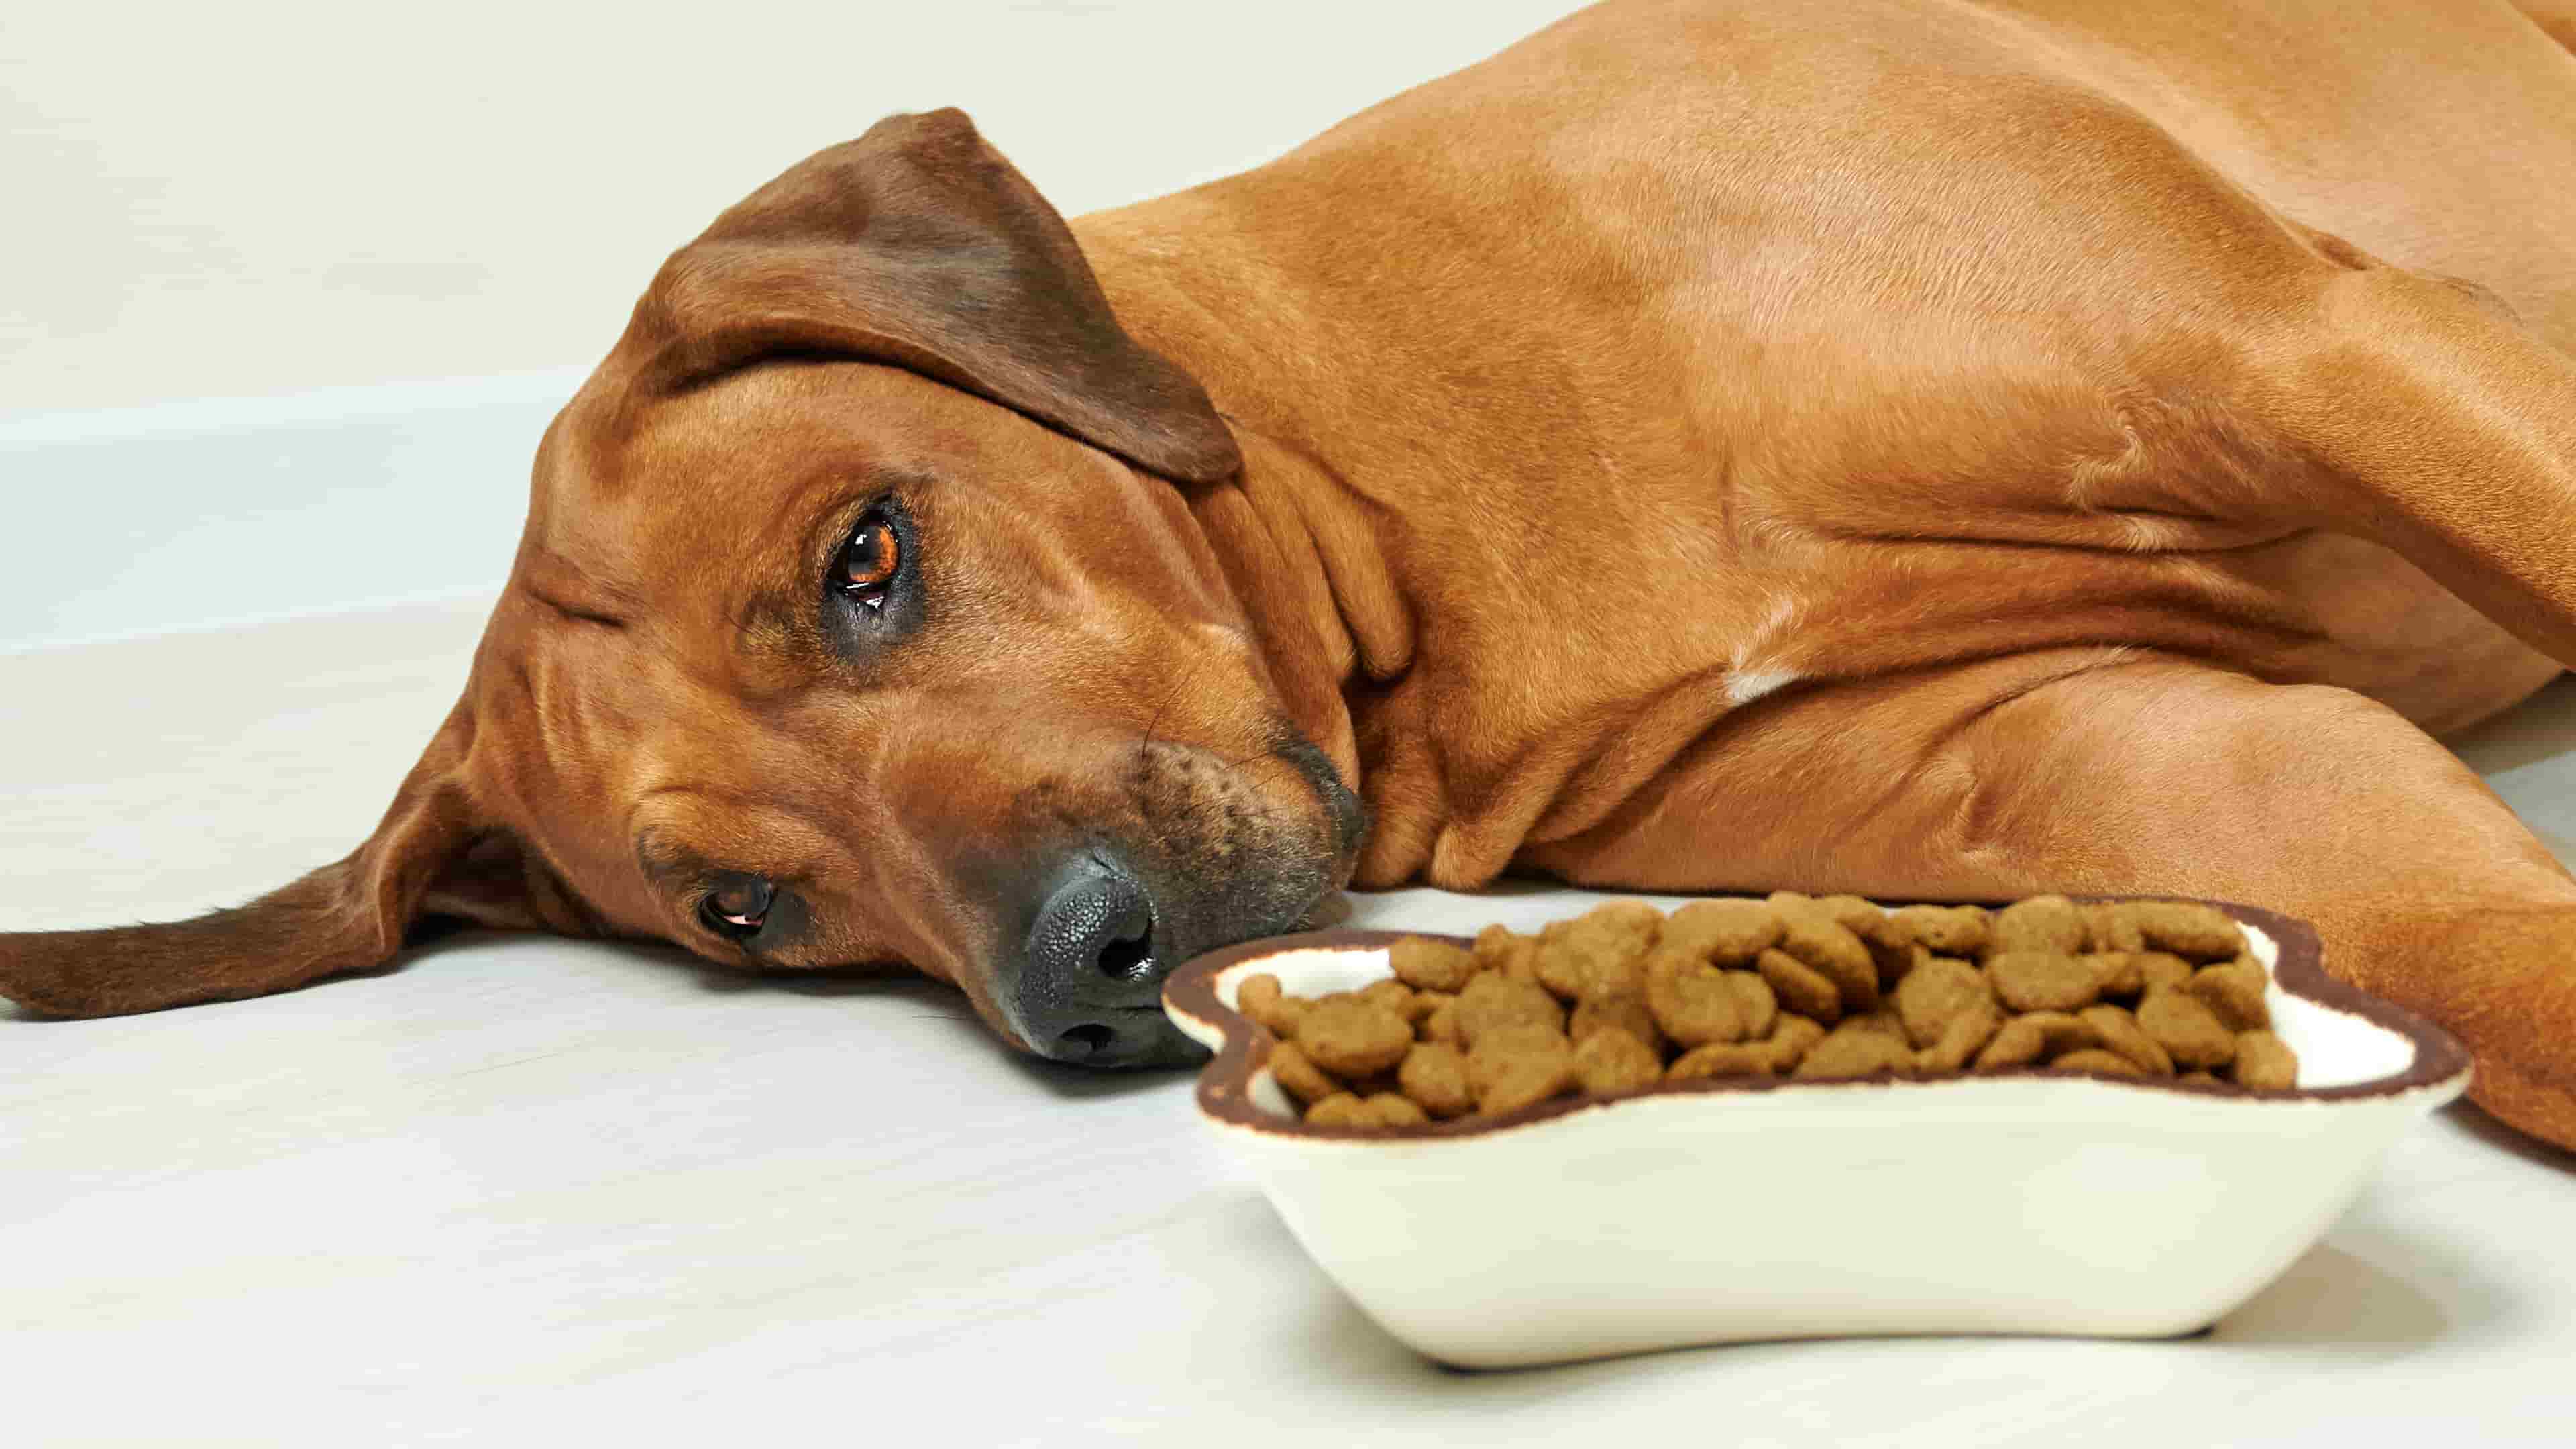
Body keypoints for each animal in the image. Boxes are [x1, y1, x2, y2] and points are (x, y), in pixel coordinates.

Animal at [15, 3, 2576, 1150]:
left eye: (866, 559)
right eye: (747, 915)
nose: (1077, 973)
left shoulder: (2327, 348)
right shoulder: (2132, 755)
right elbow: (2454, 931)